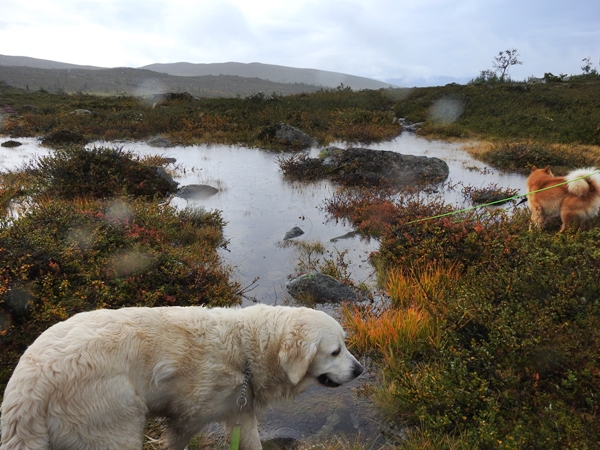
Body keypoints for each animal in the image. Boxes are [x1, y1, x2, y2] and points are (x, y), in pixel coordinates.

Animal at [0, 304, 364, 448]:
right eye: (335, 351)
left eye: (345, 344)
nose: (360, 370)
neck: (244, 351)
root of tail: (29, 382)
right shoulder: (187, 418)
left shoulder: (241, 410)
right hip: (112, 424)